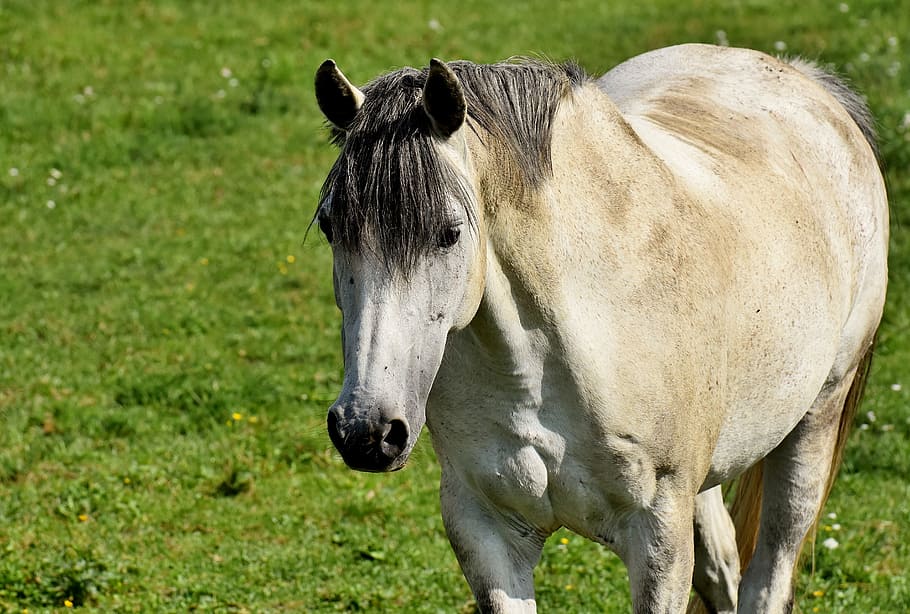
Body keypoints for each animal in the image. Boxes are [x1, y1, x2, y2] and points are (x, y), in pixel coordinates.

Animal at [313, 43, 887, 613]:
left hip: (813, 424)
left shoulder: (658, 534)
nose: (365, 431)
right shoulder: (486, 531)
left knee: (767, 575)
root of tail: (803, 78)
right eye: (330, 227)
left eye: (450, 233)